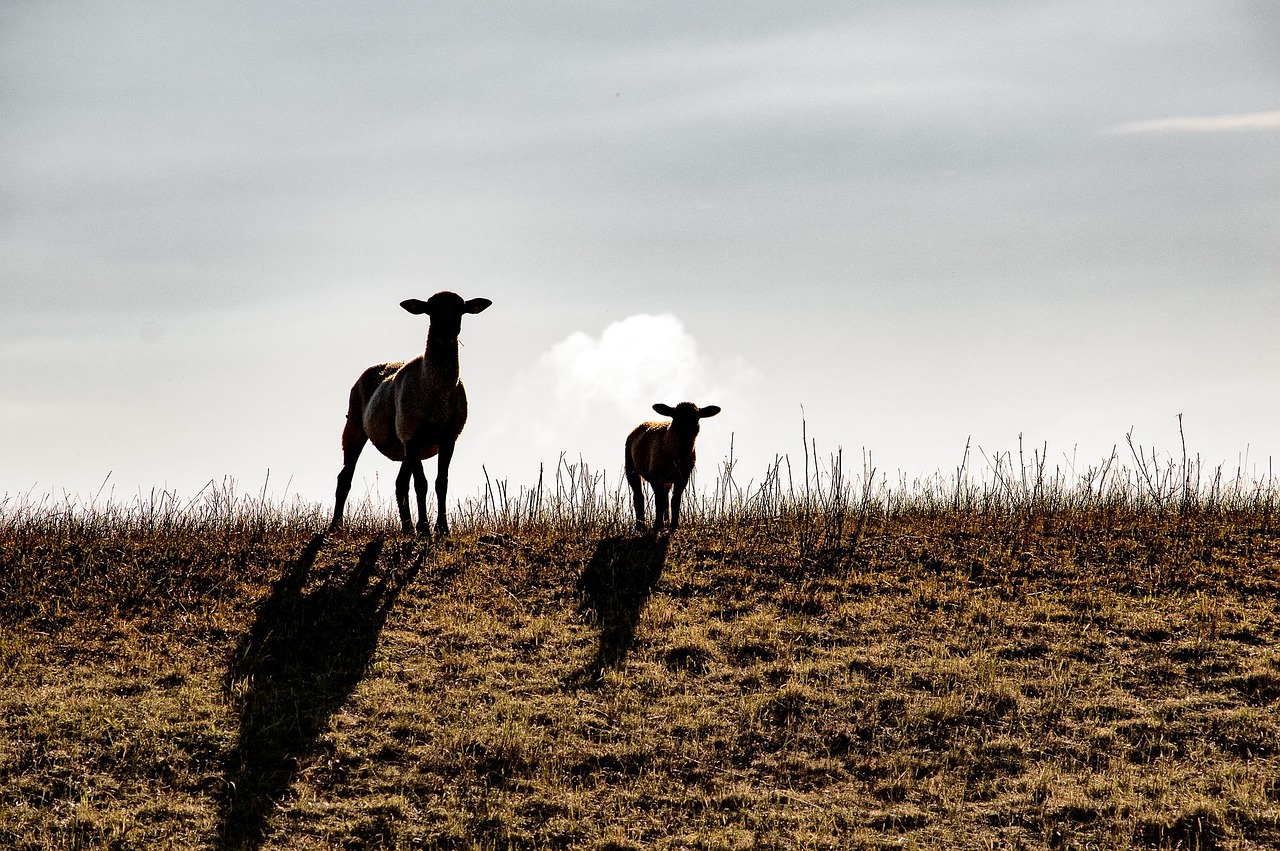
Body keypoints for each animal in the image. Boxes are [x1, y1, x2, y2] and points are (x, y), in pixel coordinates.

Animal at [331, 292, 492, 536]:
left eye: (460, 309)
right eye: (431, 310)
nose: (446, 333)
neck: (435, 393)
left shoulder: (447, 438)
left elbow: (441, 482)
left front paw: (442, 528)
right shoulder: (412, 436)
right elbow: (421, 484)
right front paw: (425, 529)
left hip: (404, 444)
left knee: (400, 484)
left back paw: (407, 529)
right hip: (356, 426)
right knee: (345, 477)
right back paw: (335, 526)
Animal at [625, 402, 721, 532]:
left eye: (697, 417)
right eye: (675, 416)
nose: (687, 432)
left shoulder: (683, 477)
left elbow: (675, 500)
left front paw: (674, 526)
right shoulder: (656, 476)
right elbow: (659, 501)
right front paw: (657, 526)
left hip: (667, 480)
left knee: (665, 498)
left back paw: (665, 522)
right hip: (630, 467)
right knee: (639, 496)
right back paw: (641, 526)